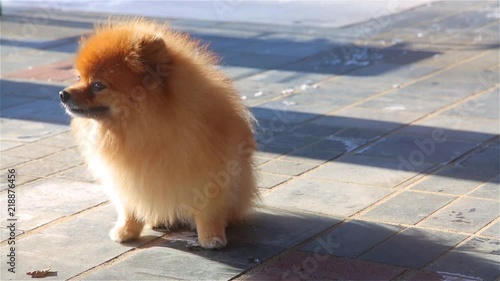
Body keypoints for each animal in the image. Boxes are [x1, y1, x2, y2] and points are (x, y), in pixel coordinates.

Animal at [59, 18, 258, 248]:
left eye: (98, 85)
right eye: (79, 78)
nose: (63, 94)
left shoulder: (207, 173)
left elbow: (208, 210)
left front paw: (211, 237)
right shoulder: (124, 178)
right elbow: (129, 207)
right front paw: (127, 230)